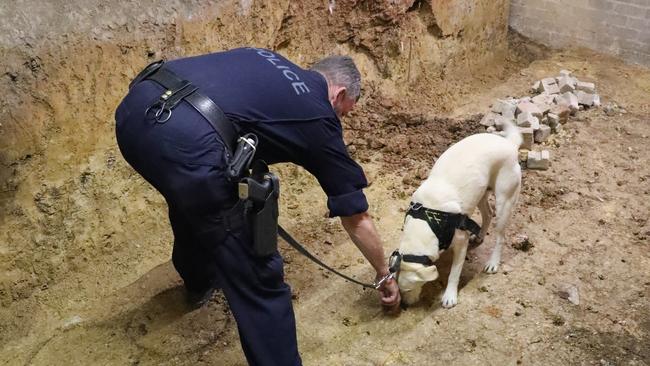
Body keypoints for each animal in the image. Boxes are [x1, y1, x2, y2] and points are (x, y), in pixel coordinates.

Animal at [392, 121, 520, 308]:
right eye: (399, 289)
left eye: (408, 289)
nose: (404, 305)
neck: (428, 222)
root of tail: (510, 144)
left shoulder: (461, 242)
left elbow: (454, 273)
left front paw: (449, 296)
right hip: (479, 194)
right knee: (488, 214)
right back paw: (480, 235)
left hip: (505, 202)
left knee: (500, 236)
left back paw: (493, 263)